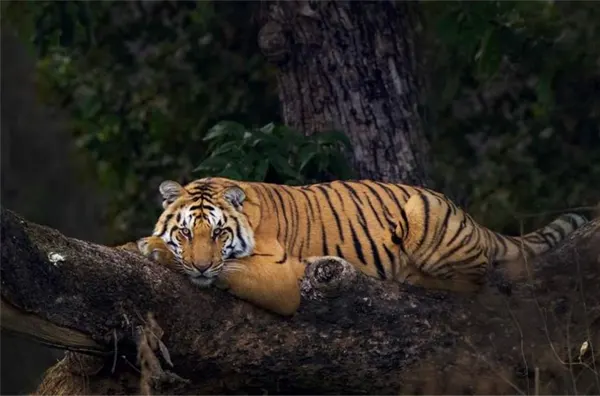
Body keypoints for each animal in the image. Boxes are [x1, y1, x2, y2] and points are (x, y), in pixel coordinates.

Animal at [119, 176, 588, 316]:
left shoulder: (283, 277)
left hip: (424, 213)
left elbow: (232, 270)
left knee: (476, 281)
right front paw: (139, 245)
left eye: (218, 234)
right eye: (186, 232)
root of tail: (470, 217)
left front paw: (156, 251)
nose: (200, 266)